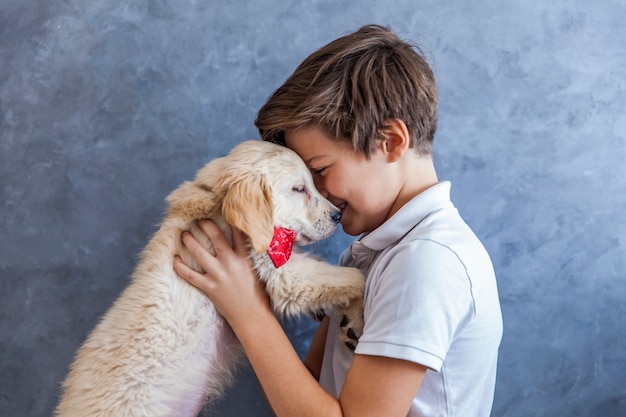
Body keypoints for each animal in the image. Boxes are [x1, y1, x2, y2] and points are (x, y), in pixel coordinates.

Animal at [57, 141, 366, 416]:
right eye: (299, 189)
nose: (337, 216)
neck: (217, 201)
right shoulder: (280, 271)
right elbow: (354, 278)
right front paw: (357, 317)